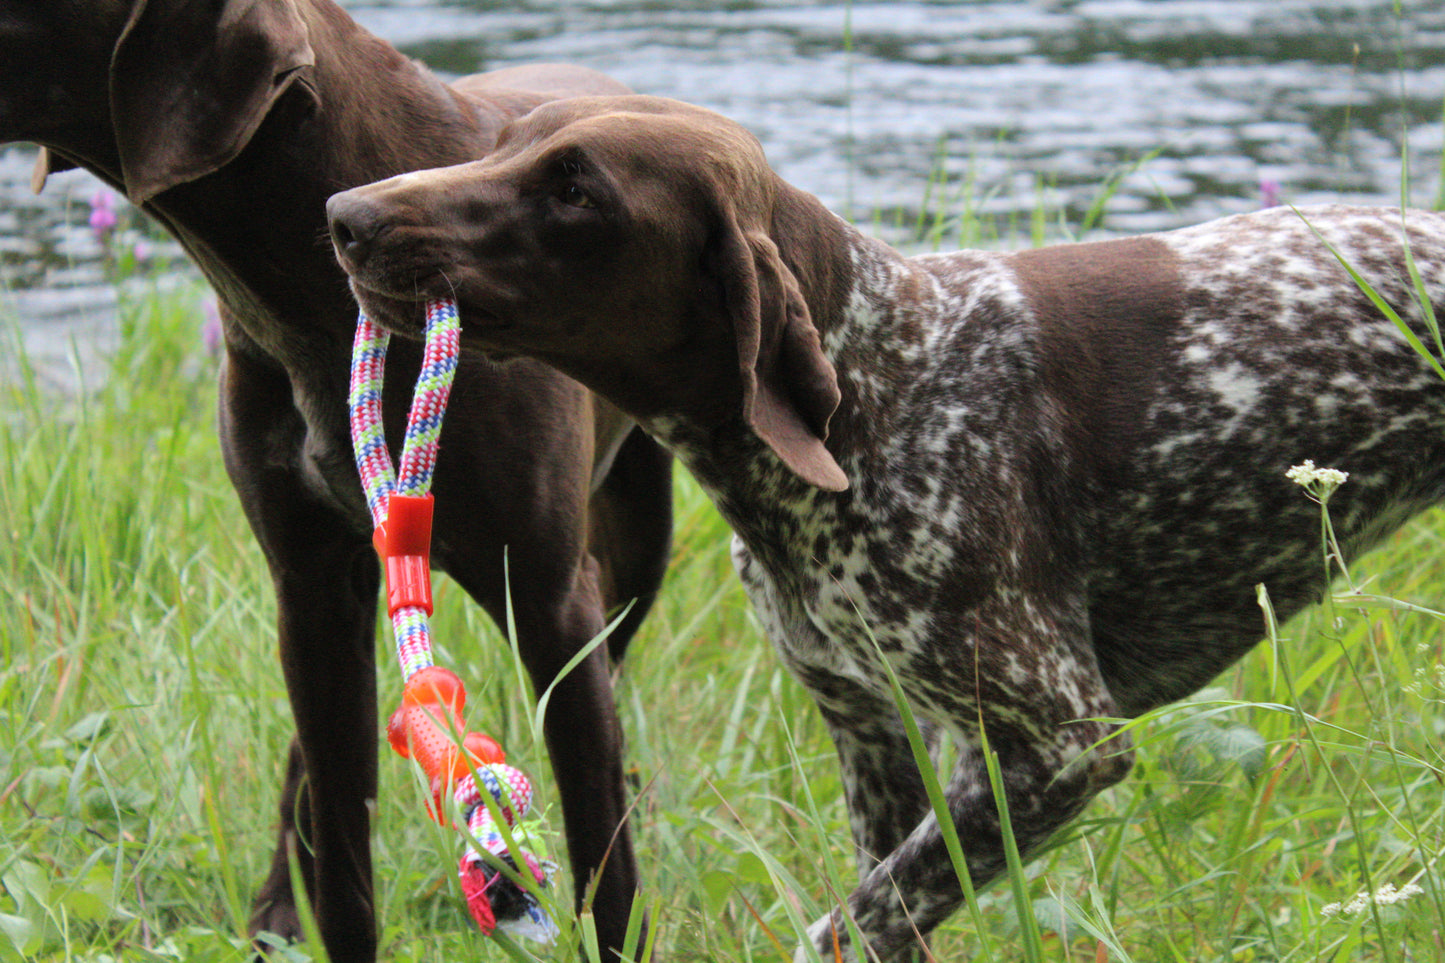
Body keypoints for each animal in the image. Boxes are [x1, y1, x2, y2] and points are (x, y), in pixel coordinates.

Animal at [2, 3, 667, 954]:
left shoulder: (551, 598)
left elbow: (600, 843)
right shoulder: (310, 582)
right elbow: (342, 851)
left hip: (635, 552)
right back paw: (278, 904)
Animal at [325, 93, 1445, 954]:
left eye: (575, 191)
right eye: (506, 141)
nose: (343, 212)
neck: (884, 379)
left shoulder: (1054, 745)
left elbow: (840, 926)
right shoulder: (873, 736)